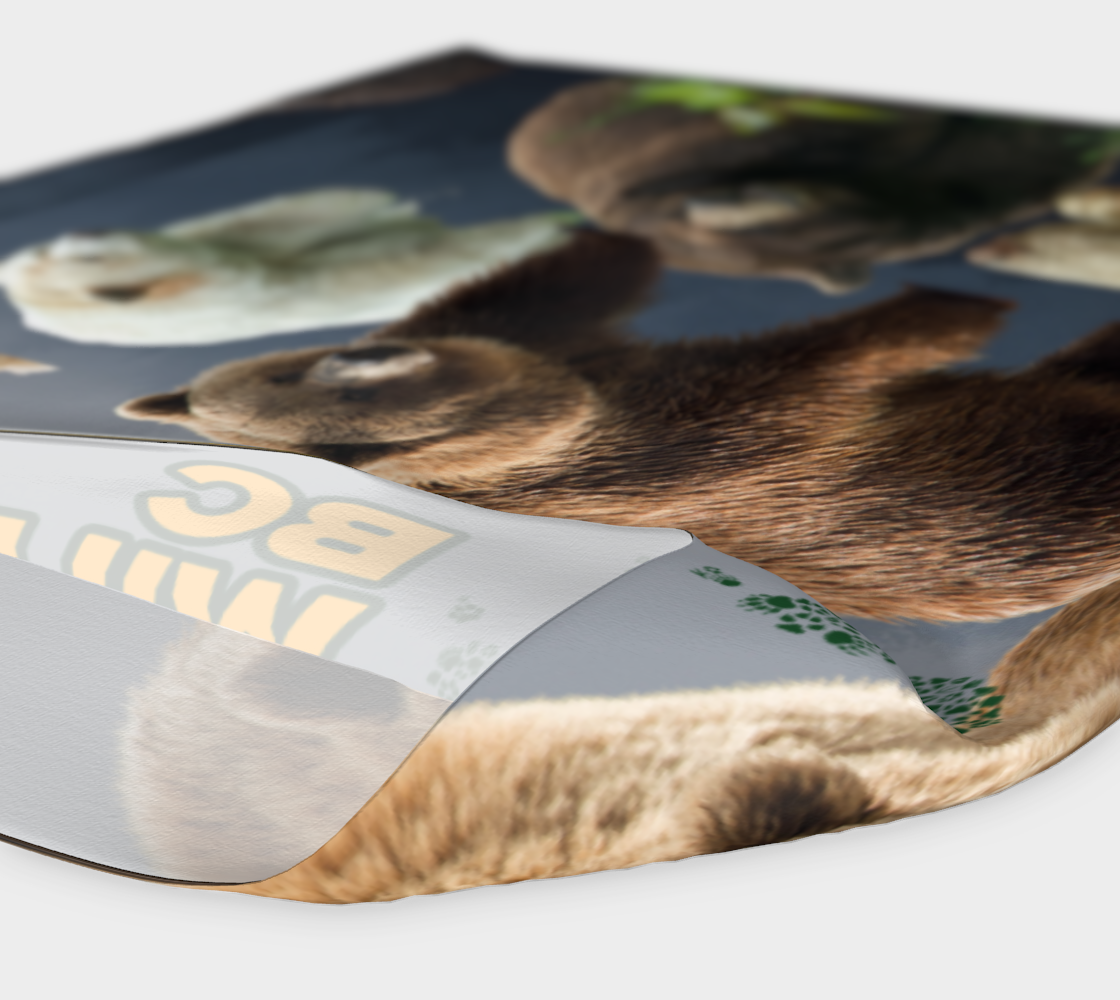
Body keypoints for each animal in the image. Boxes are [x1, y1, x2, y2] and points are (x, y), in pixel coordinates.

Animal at [119, 230, 1120, 624]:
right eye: (322, 391)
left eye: (298, 364)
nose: (368, 358)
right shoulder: (652, 453)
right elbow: (807, 373)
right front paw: (940, 305)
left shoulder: (534, 335)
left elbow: (573, 275)